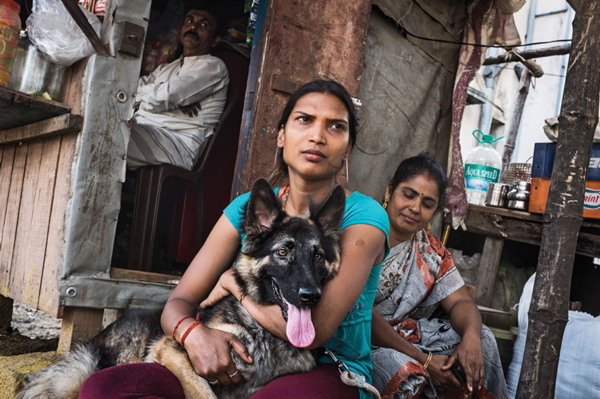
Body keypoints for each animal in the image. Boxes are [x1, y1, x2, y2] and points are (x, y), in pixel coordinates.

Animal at [17, 180, 346, 398]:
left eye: (318, 256)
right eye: (282, 252)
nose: (311, 296)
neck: (264, 335)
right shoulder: (175, 352)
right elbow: (203, 394)